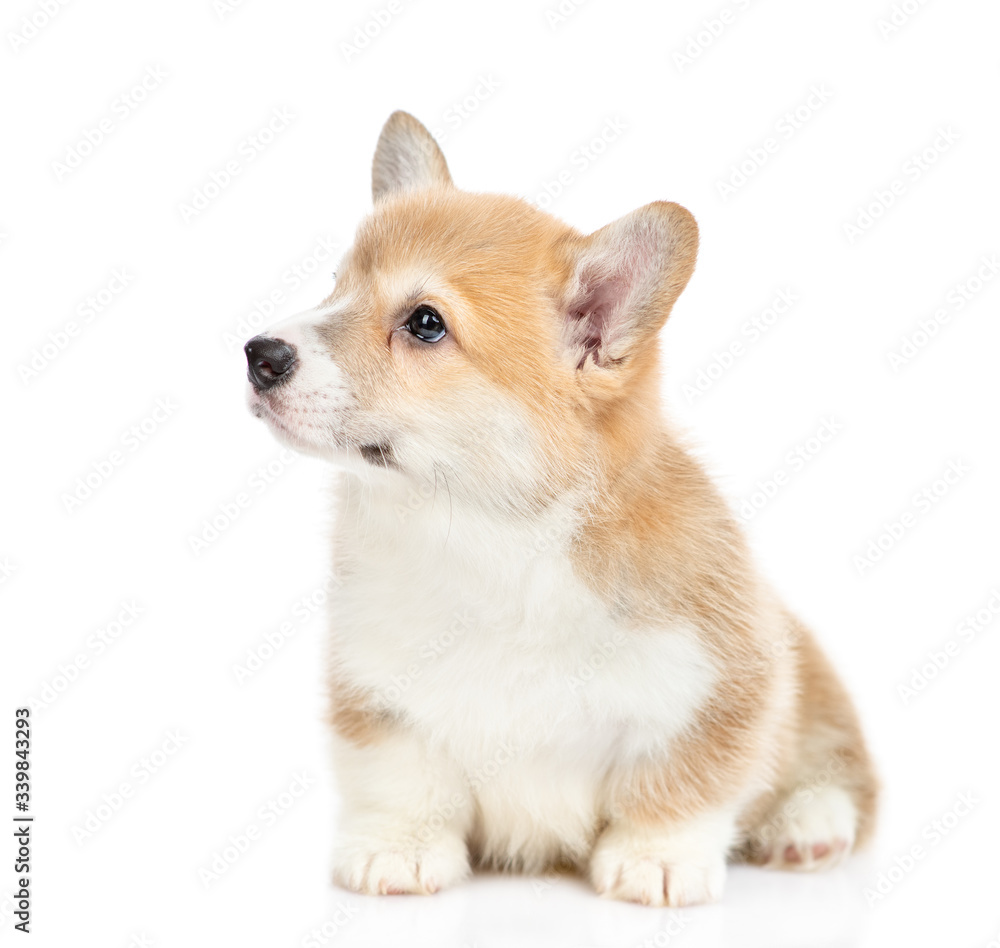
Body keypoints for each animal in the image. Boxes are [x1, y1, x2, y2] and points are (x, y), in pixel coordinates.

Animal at [246, 109, 880, 904]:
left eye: (425, 323)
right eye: (336, 286)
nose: (258, 354)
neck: (487, 535)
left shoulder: (719, 683)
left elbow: (681, 782)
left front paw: (656, 859)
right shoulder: (378, 690)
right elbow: (403, 778)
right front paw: (400, 848)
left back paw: (809, 822)